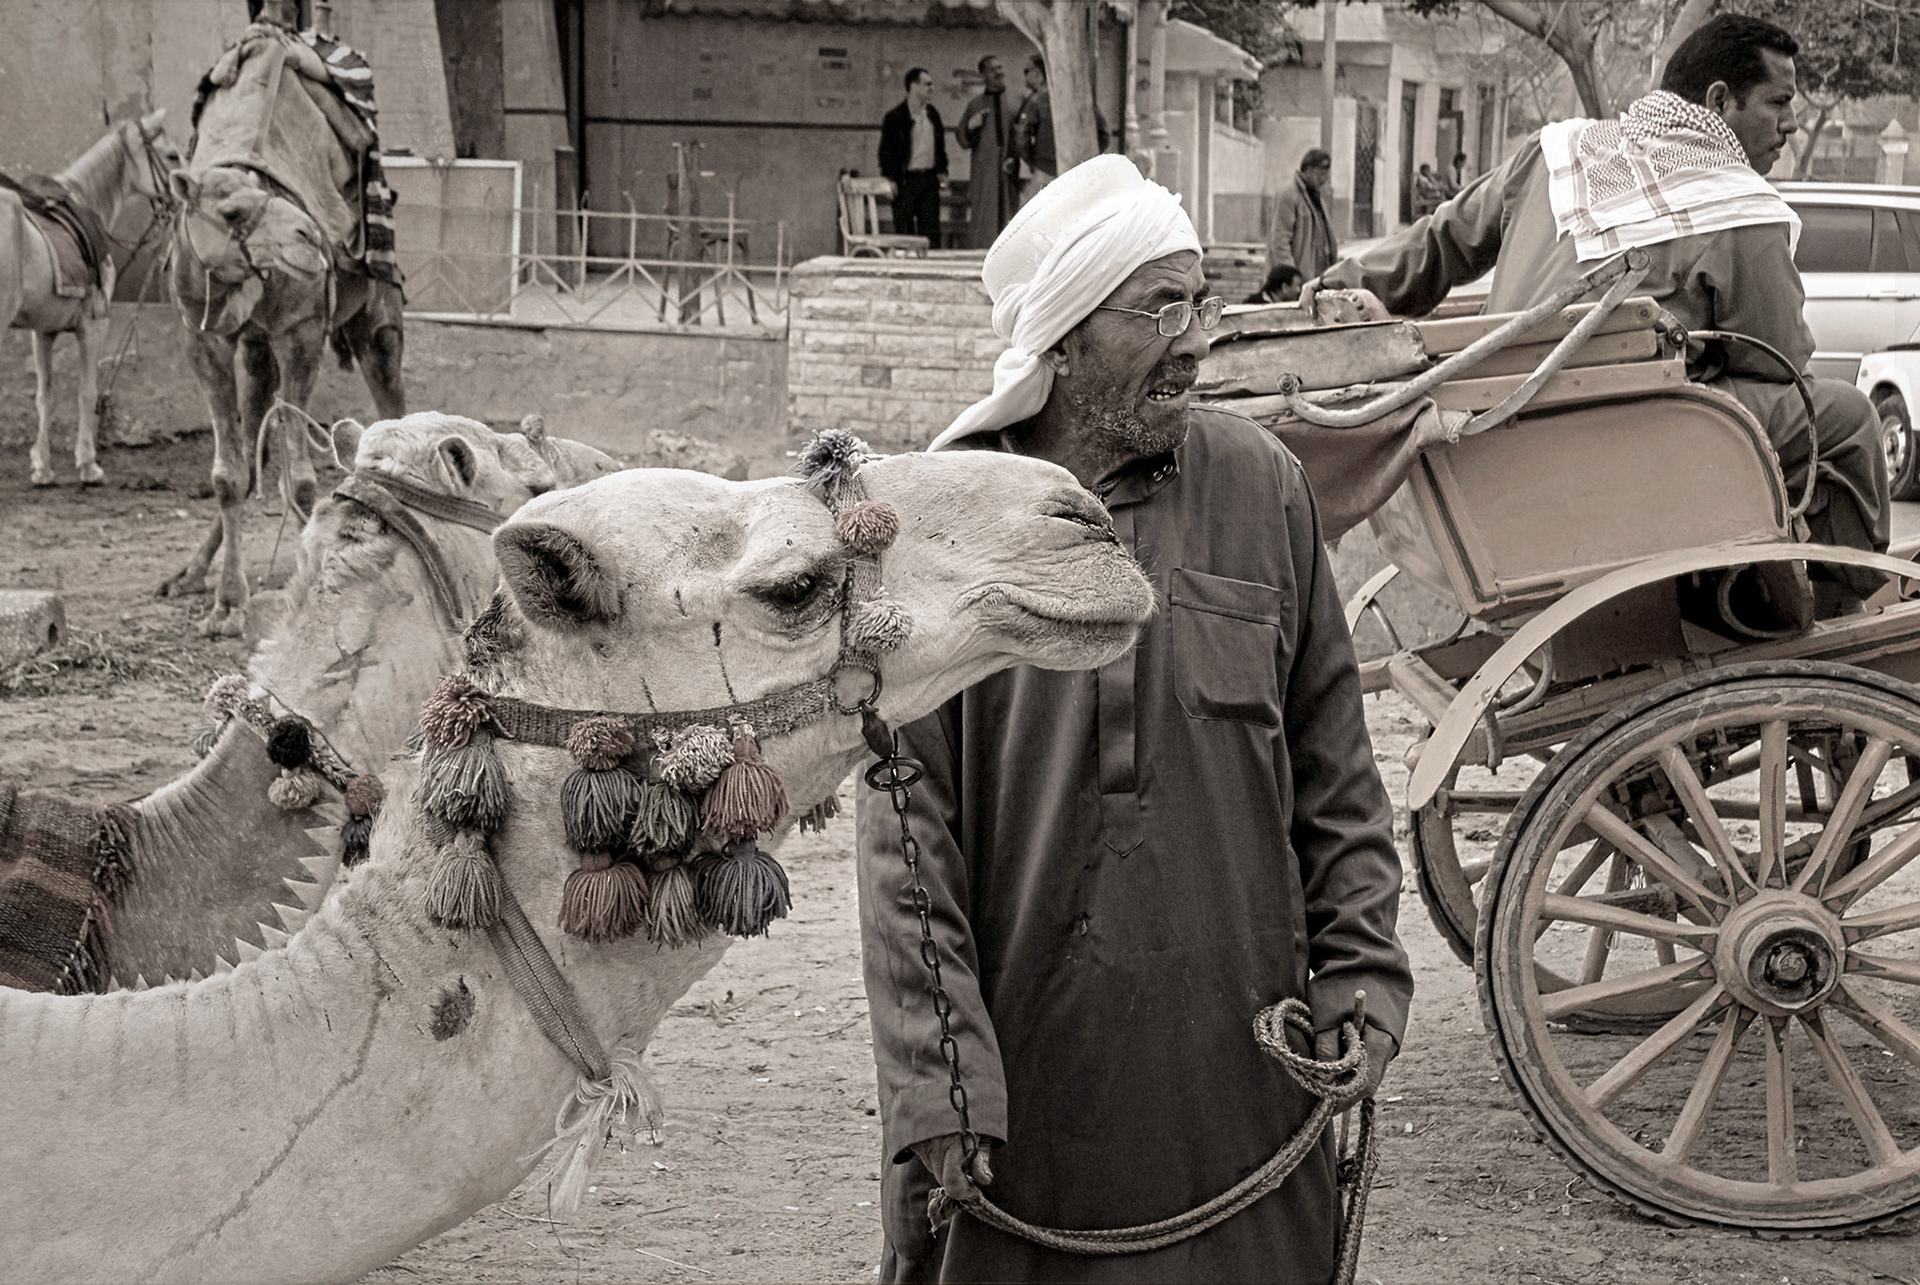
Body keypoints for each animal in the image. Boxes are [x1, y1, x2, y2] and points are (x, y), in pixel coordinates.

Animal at [1, 110, 181, 486]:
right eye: (172, 155)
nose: (182, 199)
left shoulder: (43, 331)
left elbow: (45, 396)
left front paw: (43, 467)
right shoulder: (93, 324)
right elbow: (86, 392)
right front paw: (88, 464)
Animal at [160, 26, 406, 638]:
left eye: (267, 197)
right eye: (231, 212)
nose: (309, 237)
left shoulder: (302, 329)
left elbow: (298, 478)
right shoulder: (201, 336)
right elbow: (230, 474)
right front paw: (227, 604)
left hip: (374, 311)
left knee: (389, 382)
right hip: (253, 346)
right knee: (250, 438)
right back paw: (190, 573)